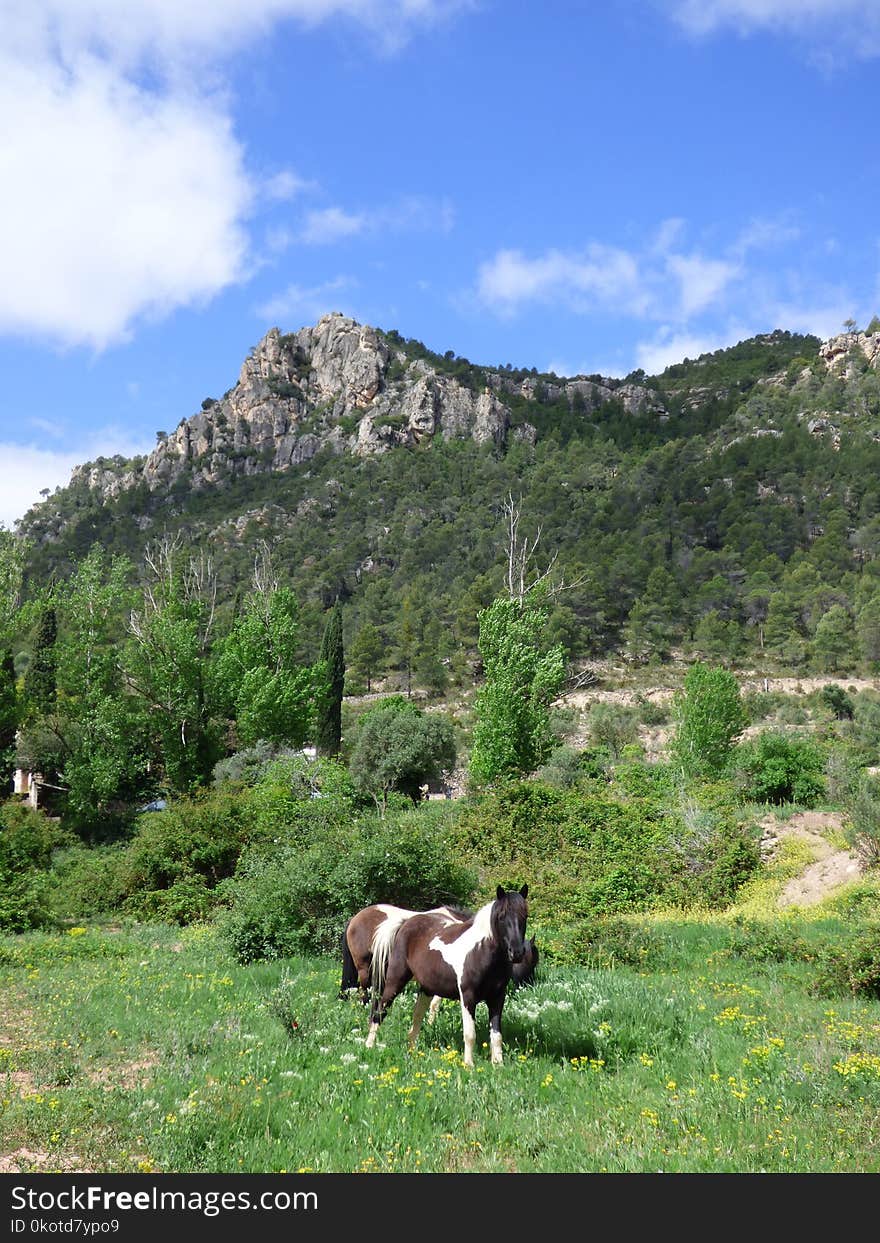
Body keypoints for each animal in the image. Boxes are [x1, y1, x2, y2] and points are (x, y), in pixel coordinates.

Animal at [362, 885, 529, 1068]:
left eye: (525, 915)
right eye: (501, 917)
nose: (517, 953)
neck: (480, 951)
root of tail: (406, 923)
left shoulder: (497, 997)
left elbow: (496, 1034)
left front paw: (498, 1064)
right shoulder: (468, 997)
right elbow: (470, 1034)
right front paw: (469, 1065)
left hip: (426, 989)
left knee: (416, 1018)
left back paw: (412, 1052)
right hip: (395, 981)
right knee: (380, 1011)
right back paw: (369, 1046)